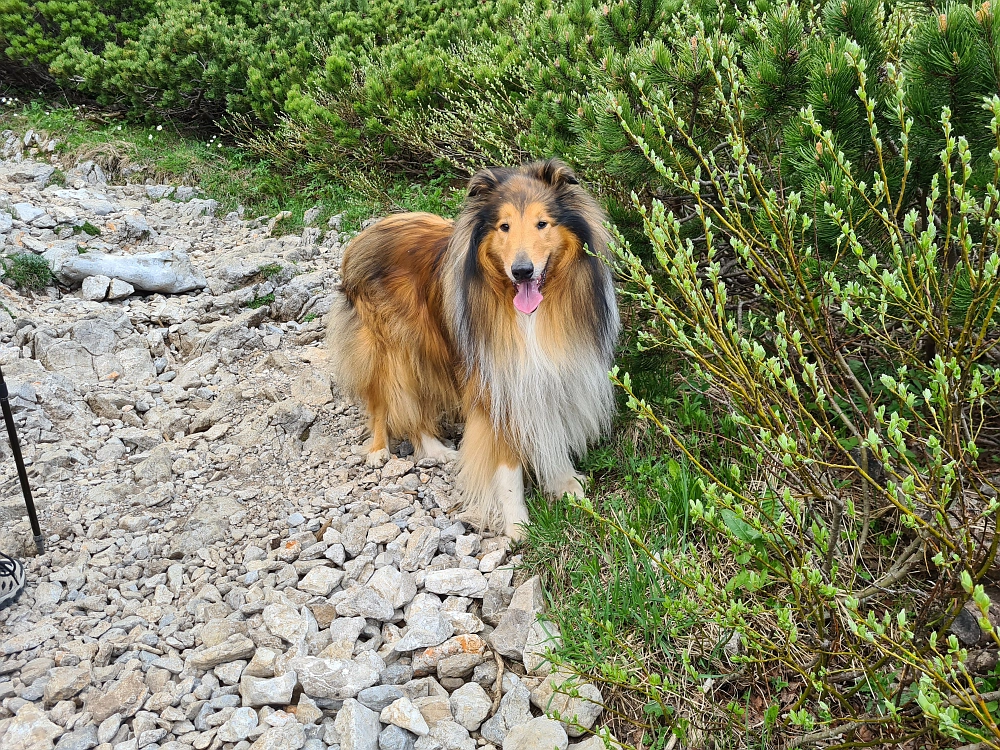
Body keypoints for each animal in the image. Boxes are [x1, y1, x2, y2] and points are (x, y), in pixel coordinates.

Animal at [326, 160, 616, 540]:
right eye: (504, 226)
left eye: (542, 223)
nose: (522, 271)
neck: (530, 317)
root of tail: (365, 235)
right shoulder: (497, 384)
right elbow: (506, 466)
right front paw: (518, 524)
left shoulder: (551, 374)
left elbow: (549, 430)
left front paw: (562, 481)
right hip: (390, 351)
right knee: (382, 400)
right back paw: (378, 450)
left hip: (425, 351)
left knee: (413, 406)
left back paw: (436, 450)